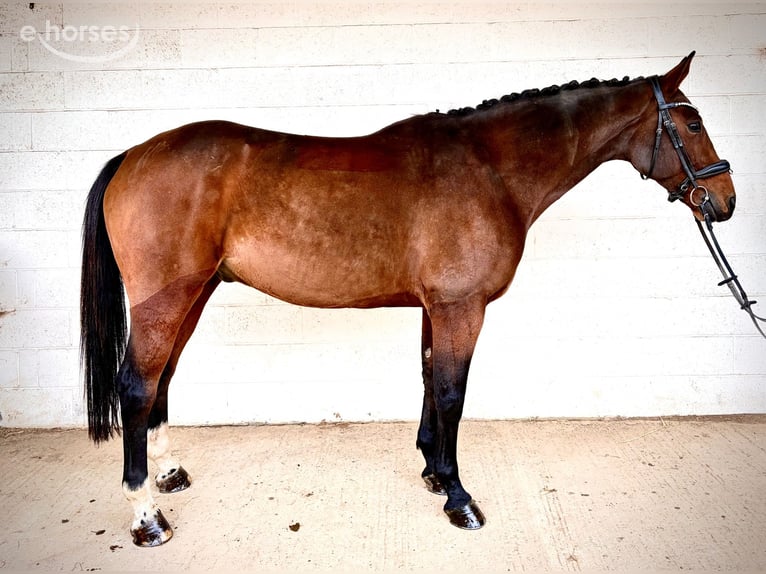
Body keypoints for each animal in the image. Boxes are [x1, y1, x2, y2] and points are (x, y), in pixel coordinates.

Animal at [80, 52, 735, 547]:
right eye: (693, 125)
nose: (724, 201)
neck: (491, 169)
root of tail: (133, 155)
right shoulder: (460, 307)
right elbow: (451, 394)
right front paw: (458, 495)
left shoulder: (435, 307)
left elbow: (427, 378)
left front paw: (430, 471)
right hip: (166, 300)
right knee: (137, 386)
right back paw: (146, 516)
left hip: (196, 293)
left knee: (162, 379)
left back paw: (168, 475)